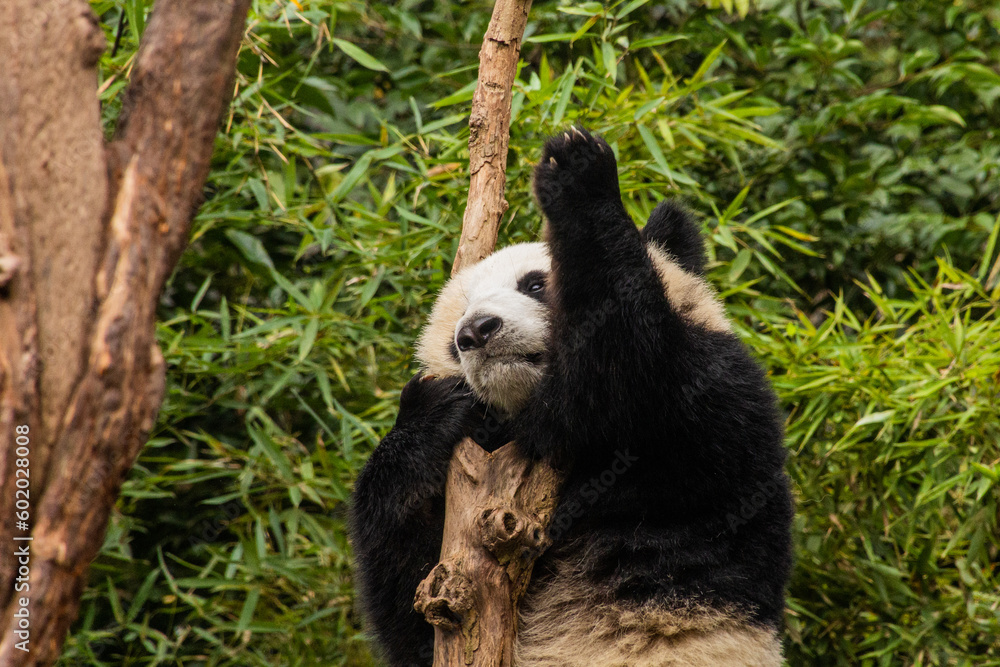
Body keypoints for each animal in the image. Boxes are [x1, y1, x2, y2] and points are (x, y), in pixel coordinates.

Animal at [350, 127, 793, 666]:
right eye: (457, 326)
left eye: (536, 284)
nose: (476, 331)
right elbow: (415, 598)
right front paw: (431, 414)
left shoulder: (708, 409)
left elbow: (623, 365)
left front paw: (578, 173)